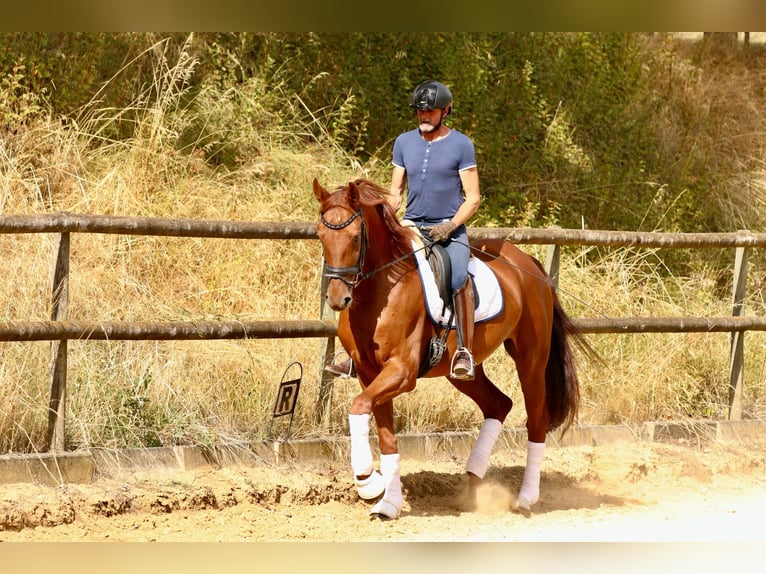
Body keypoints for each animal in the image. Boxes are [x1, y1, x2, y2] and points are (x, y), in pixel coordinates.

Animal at [312, 177, 593, 520]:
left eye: (354, 238)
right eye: (321, 235)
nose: (337, 298)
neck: (380, 292)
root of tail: (530, 264)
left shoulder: (401, 372)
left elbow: (358, 407)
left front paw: (368, 482)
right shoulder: (370, 374)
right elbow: (386, 436)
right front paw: (387, 502)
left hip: (531, 359)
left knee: (536, 418)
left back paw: (525, 498)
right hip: (461, 370)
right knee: (498, 405)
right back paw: (473, 485)